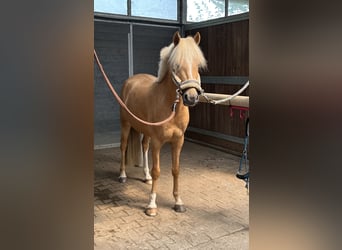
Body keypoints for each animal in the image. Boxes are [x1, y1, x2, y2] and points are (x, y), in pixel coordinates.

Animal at [119, 30, 207, 215]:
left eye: (197, 65)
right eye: (176, 66)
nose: (191, 98)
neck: (171, 107)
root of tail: (130, 81)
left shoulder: (178, 141)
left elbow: (176, 170)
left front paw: (178, 202)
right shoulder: (158, 142)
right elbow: (157, 171)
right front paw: (151, 205)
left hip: (145, 131)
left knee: (144, 146)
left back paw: (146, 177)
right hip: (125, 124)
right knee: (123, 146)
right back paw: (122, 175)